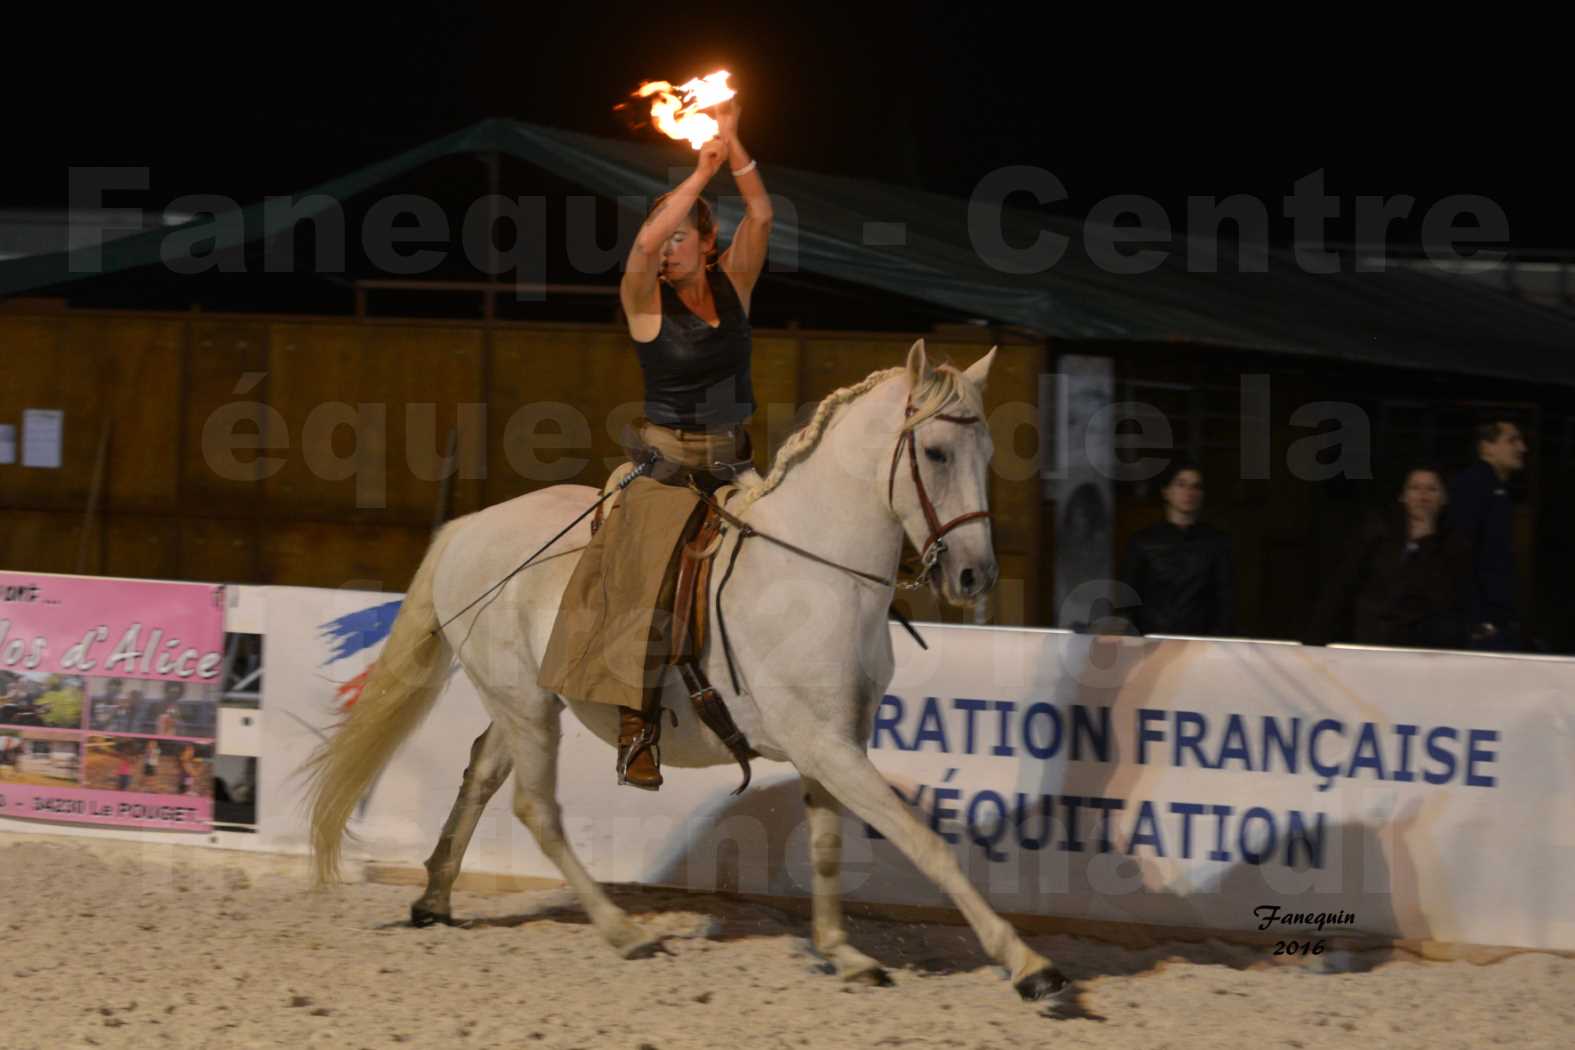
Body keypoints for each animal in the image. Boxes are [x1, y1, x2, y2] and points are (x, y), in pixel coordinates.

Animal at [307, 343, 1071, 1001]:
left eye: (986, 452)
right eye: (935, 452)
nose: (975, 575)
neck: (819, 571)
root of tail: (468, 528)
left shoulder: (833, 742)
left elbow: (827, 846)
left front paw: (843, 952)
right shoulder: (830, 746)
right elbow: (927, 844)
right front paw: (1028, 965)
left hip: (522, 702)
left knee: (482, 776)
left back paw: (435, 896)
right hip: (525, 706)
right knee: (534, 807)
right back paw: (622, 931)